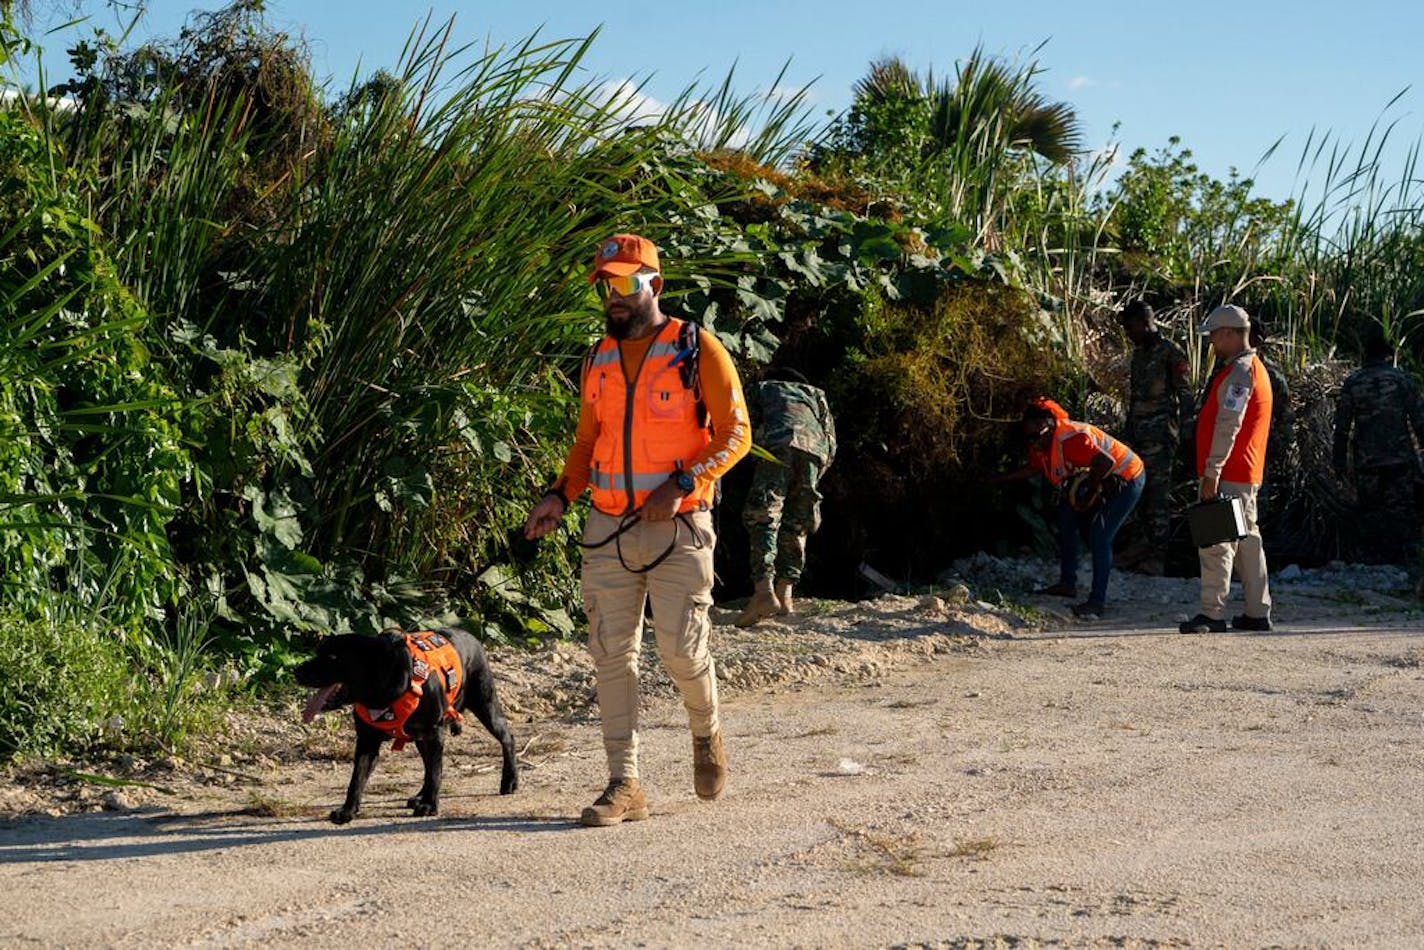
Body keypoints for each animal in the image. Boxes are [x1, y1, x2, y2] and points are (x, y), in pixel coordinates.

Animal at [294, 626, 518, 820]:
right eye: (318, 652)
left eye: (333, 657)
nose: (297, 671)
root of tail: (471, 636)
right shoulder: (367, 741)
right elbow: (356, 779)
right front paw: (348, 810)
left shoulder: (434, 733)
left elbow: (436, 772)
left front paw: (429, 805)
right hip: (421, 737)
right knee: (428, 764)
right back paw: (420, 795)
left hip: (485, 704)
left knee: (507, 737)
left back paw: (510, 780)